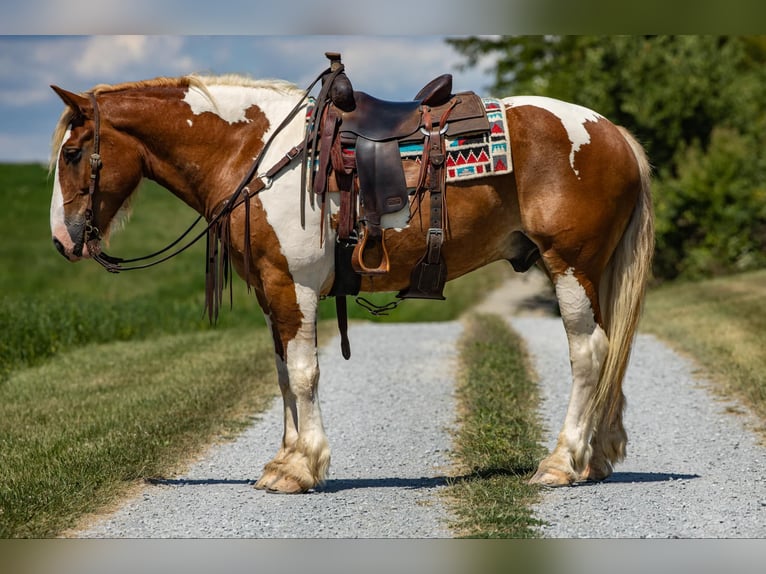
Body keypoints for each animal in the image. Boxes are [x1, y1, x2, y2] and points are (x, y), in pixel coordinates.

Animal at [48, 68, 653, 493]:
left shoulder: (294, 287)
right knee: (609, 355)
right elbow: (282, 376)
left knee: (589, 354)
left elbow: (303, 373)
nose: (61, 240)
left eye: (74, 153)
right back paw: (595, 459)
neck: (257, 155)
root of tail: (613, 133)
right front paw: (284, 461)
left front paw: (302, 467)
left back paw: (562, 462)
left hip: (571, 265)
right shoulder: (272, 291)